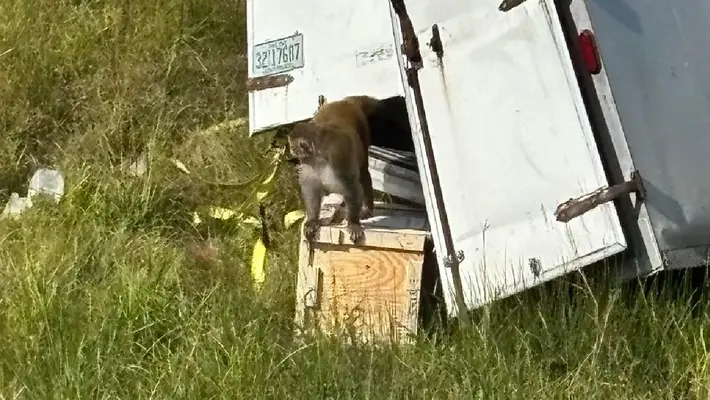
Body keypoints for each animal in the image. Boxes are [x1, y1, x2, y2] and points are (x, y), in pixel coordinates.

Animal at [288, 95, 380, 245]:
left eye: (292, 146)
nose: (291, 151)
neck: (319, 155)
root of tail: (345, 102)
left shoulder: (338, 156)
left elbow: (351, 186)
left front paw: (353, 223)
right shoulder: (309, 163)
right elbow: (311, 188)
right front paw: (312, 220)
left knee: (363, 172)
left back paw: (366, 208)